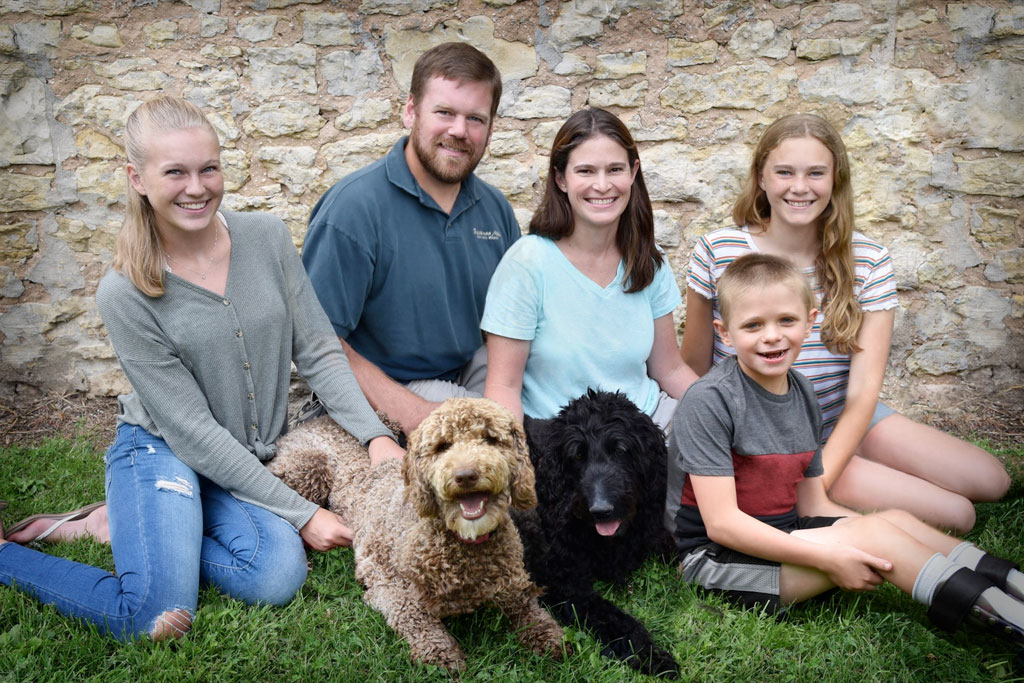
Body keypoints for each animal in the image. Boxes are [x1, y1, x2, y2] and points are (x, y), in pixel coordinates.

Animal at [268, 397, 565, 671]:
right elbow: (416, 616)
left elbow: (528, 608)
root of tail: (317, 421)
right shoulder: (390, 585)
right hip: (308, 469)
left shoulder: (513, 583)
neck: (464, 546)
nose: (466, 475)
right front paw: (441, 653)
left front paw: (548, 635)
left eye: (490, 439)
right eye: (442, 446)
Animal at [516, 389, 675, 679]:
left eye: (621, 450)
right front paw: (650, 655)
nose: (601, 510)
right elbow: (614, 618)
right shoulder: (563, 582)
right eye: (577, 456)